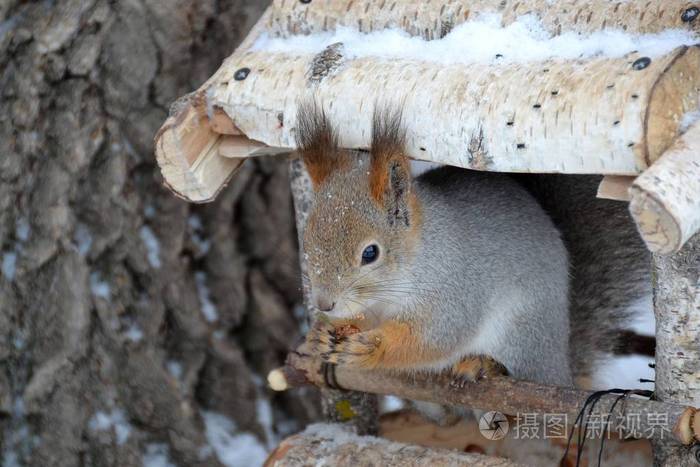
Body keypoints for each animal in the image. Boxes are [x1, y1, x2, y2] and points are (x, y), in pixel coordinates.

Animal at [294, 100, 652, 422]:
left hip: (521, 332)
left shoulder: (455, 287)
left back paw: (483, 364)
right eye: (306, 240)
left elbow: (435, 336)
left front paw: (369, 347)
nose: (324, 304)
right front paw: (319, 335)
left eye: (370, 253)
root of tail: (560, 366)